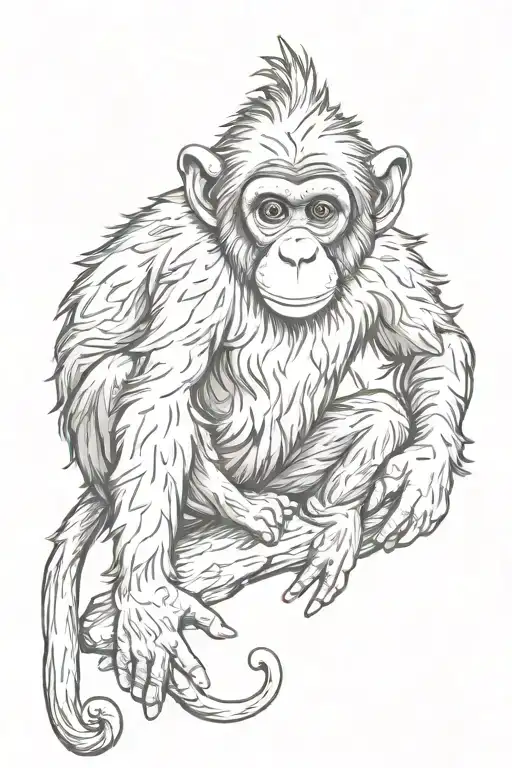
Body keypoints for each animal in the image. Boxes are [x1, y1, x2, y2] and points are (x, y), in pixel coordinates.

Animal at [43, 38, 474, 756]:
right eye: (272, 211)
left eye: (321, 212)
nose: (298, 251)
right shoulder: (197, 277)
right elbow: (159, 398)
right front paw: (149, 606)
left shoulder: (387, 258)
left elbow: (432, 347)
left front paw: (422, 471)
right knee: (121, 382)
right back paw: (225, 502)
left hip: (289, 471)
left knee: (383, 411)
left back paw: (332, 519)